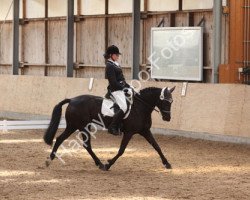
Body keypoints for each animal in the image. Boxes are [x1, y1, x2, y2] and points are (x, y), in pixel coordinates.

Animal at [44, 86, 175, 170]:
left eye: (172, 101)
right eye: (165, 102)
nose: (167, 118)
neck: (140, 107)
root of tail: (72, 100)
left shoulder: (145, 131)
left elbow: (157, 147)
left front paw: (167, 163)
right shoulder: (129, 132)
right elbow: (121, 150)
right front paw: (109, 164)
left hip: (74, 126)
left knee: (60, 139)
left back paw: (50, 160)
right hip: (81, 126)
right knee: (85, 145)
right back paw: (101, 164)